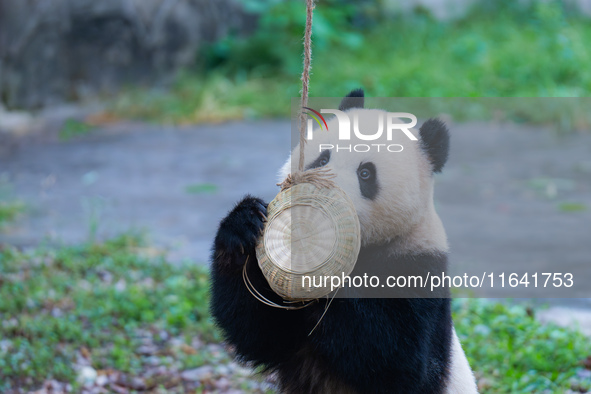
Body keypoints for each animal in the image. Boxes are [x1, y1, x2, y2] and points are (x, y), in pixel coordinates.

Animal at [210, 90, 478, 394]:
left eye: (366, 173)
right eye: (321, 159)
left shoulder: (417, 267)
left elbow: (398, 359)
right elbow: (259, 332)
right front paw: (243, 224)